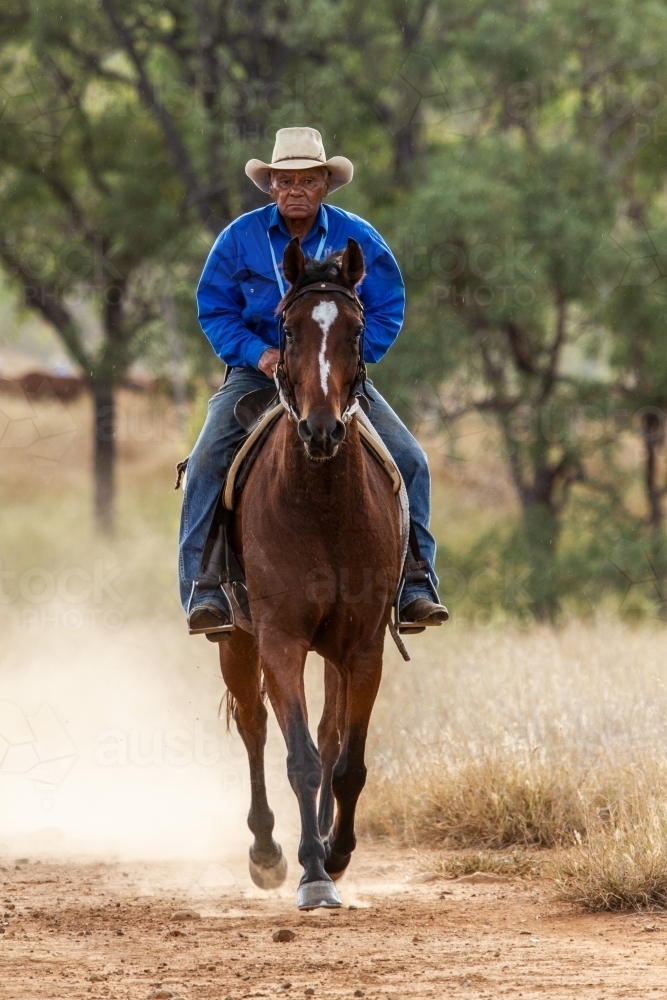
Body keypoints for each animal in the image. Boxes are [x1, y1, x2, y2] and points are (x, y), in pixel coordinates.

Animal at [222, 238, 404, 912]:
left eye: (355, 331)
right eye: (288, 329)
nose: (322, 429)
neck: (322, 504)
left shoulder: (364, 645)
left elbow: (346, 760)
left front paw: (337, 852)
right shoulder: (280, 639)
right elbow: (297, 755)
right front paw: (311, 872)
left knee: (328, 737)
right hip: (235, 639)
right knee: (253, 726)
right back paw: (266, 851)